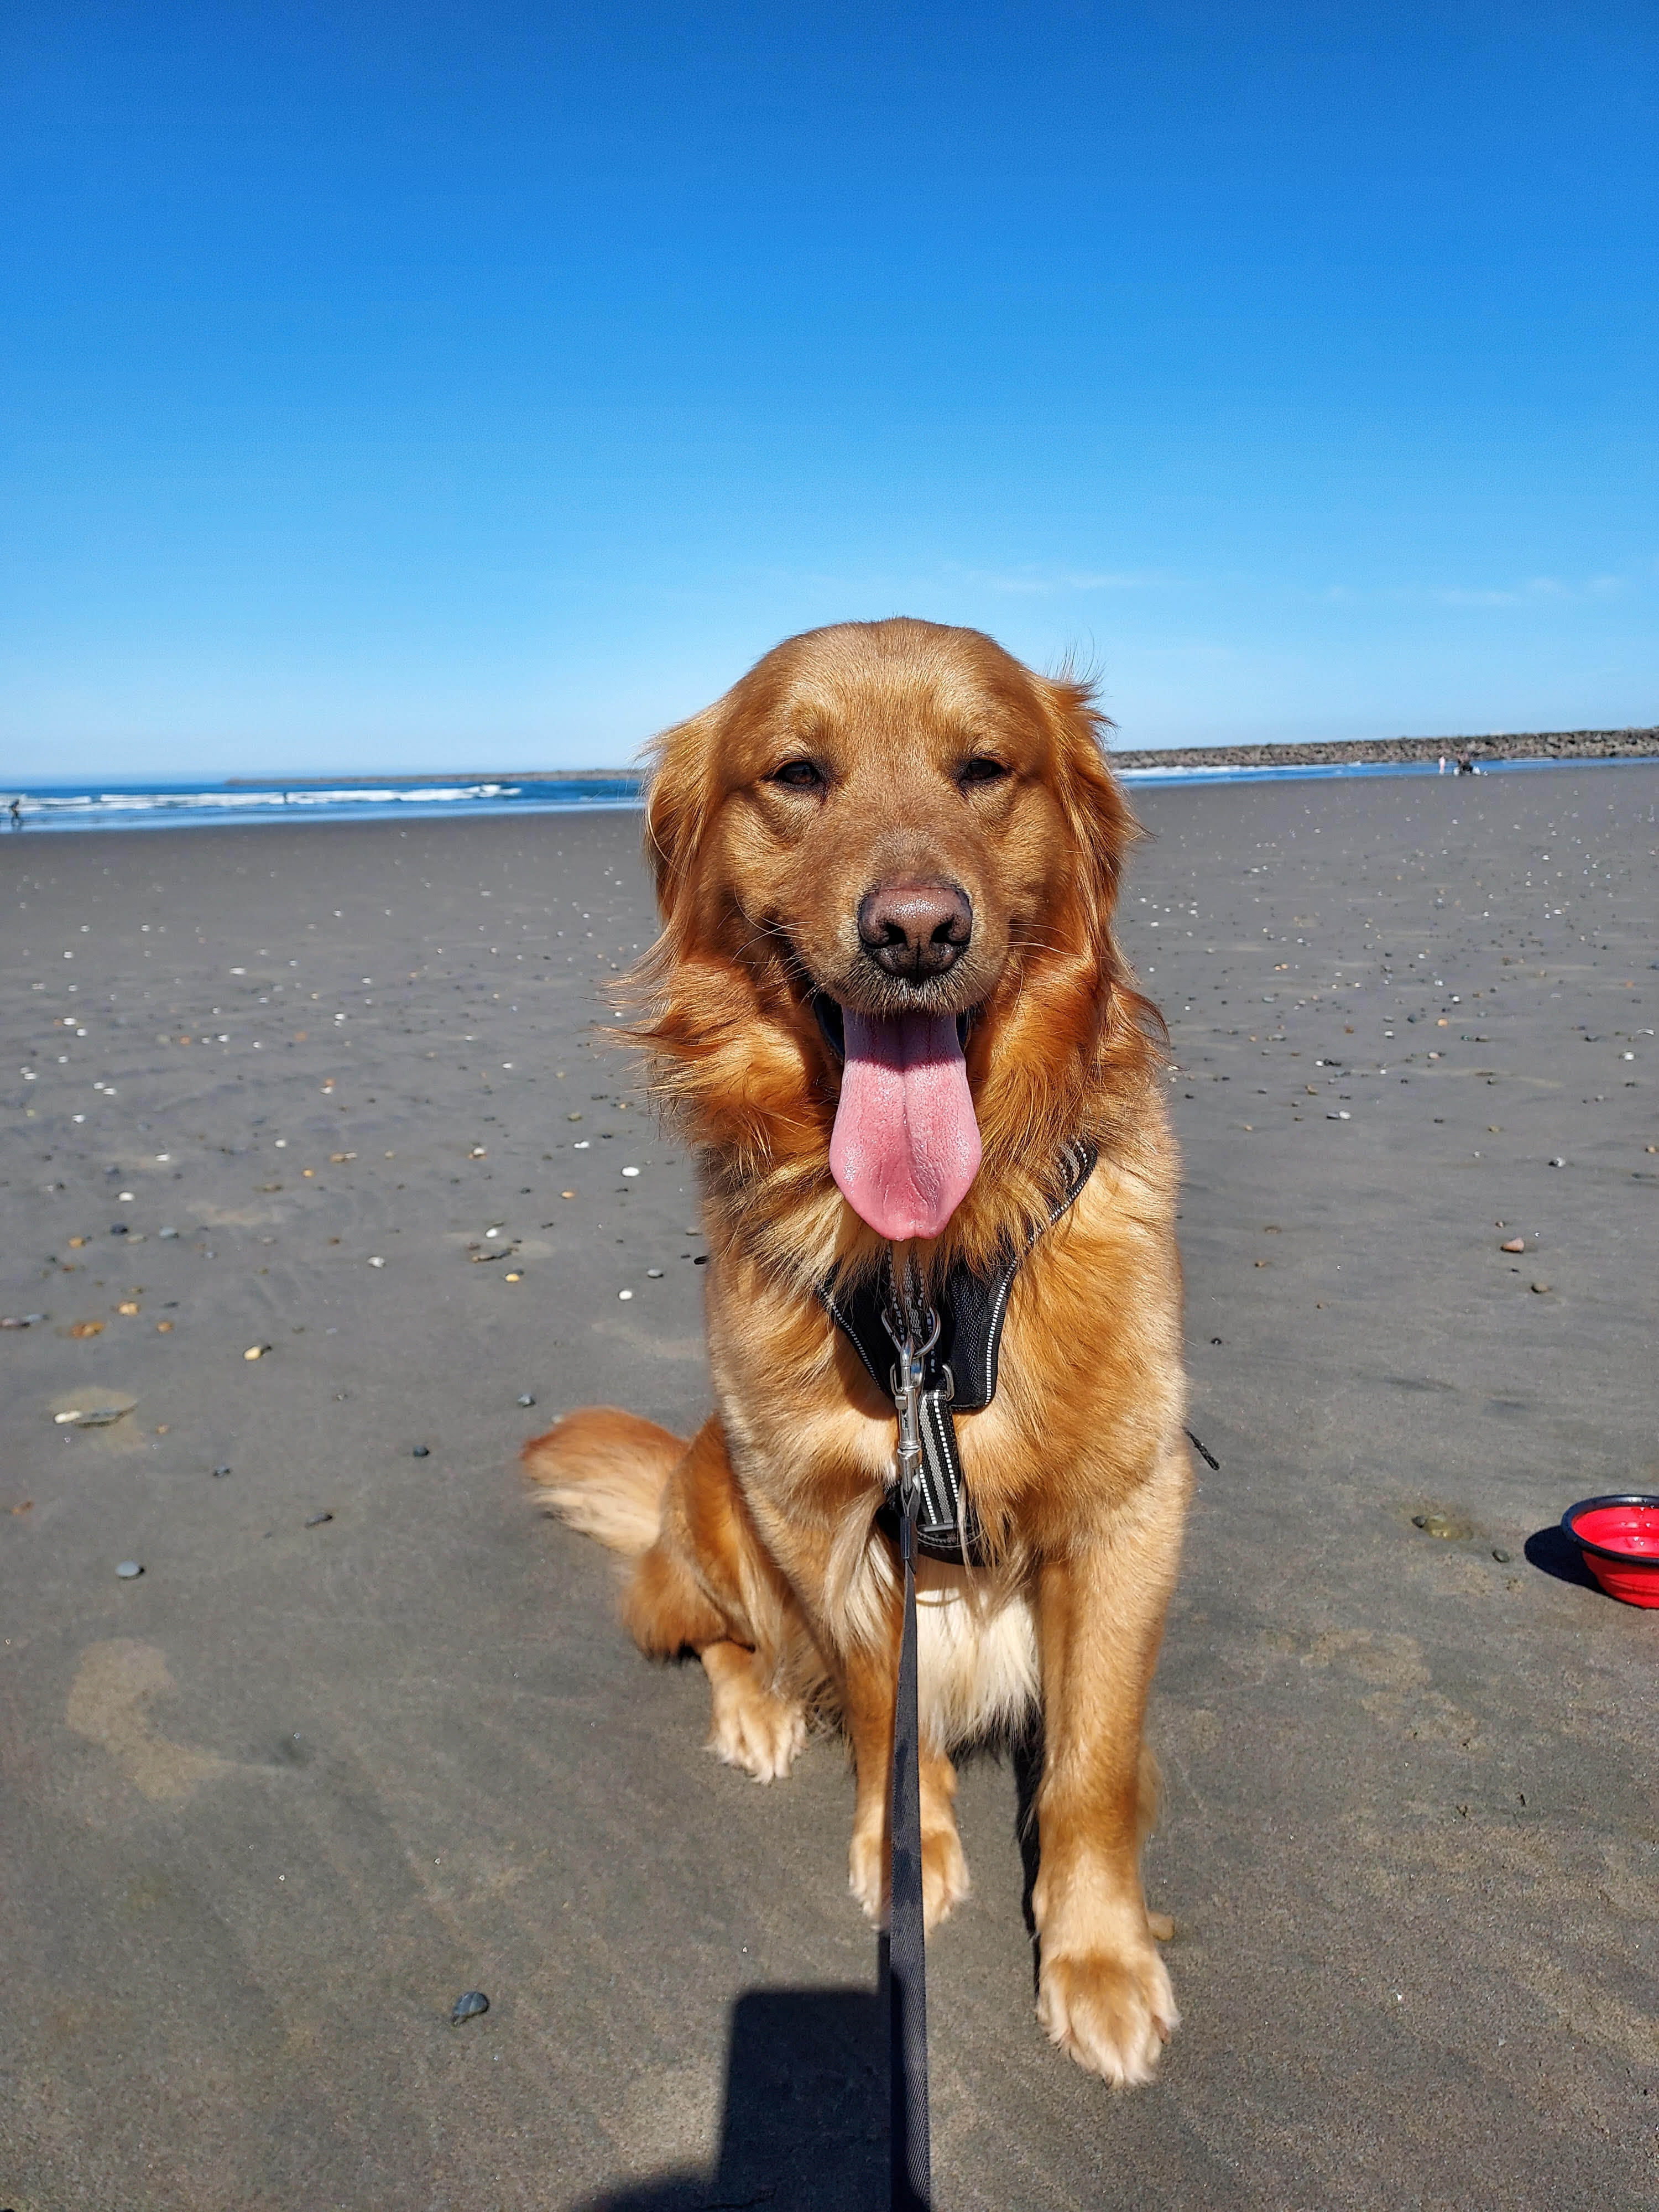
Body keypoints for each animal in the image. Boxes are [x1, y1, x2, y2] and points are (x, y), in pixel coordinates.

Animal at [524, 617, 1189, 2085]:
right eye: (796, 773)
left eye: (984, 767)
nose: (916, 929)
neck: (927, 1273)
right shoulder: (818, 1503)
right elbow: (886, 1694)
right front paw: (907, 1849)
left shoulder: (1131, 1505)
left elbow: (1096, 1763)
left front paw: (1098, 1957)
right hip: (719, 1496)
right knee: (708, 1630)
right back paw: (758, 1708)